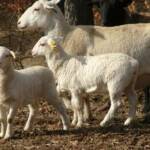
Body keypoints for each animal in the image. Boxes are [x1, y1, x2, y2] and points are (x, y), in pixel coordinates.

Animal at [17, 0, 150, 120]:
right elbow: (81, 95)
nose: (18, 22)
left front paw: (78, 113)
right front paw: (86, 115)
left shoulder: (76, 72)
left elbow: (74, 96)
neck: (66, 35)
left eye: (36, 9)